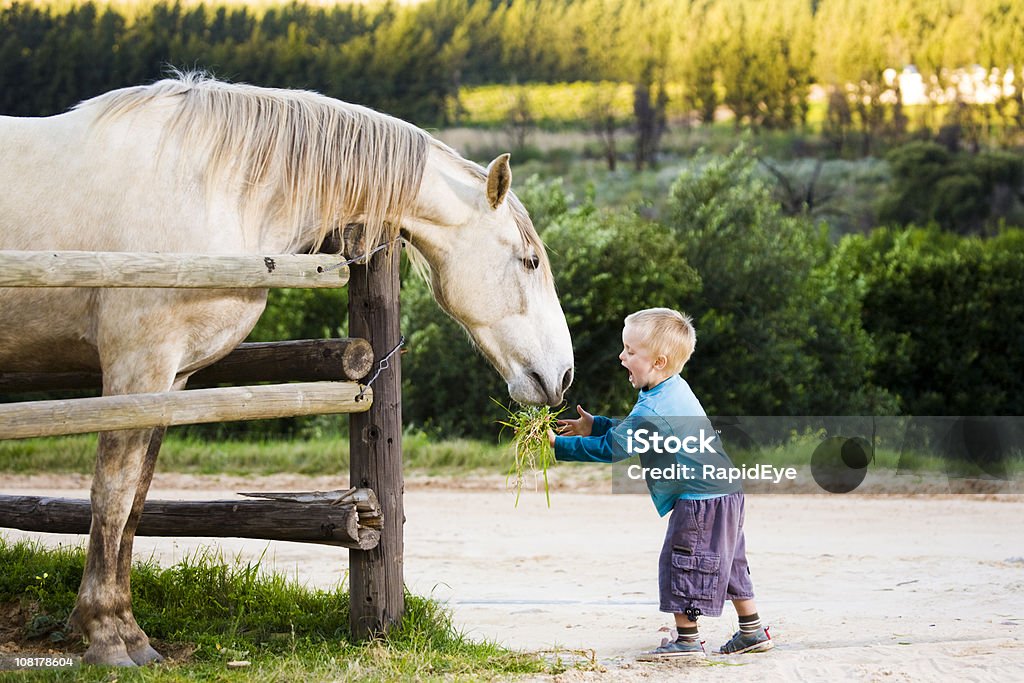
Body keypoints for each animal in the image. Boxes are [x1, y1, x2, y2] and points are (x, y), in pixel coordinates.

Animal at [0, 72, 577, 663]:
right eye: (529, 261)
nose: (561, 376)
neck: (210, 185)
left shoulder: (170, 379)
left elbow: (135, 502)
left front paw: (130, 633)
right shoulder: (134, 369)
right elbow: (110, 496)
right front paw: (106, 637)